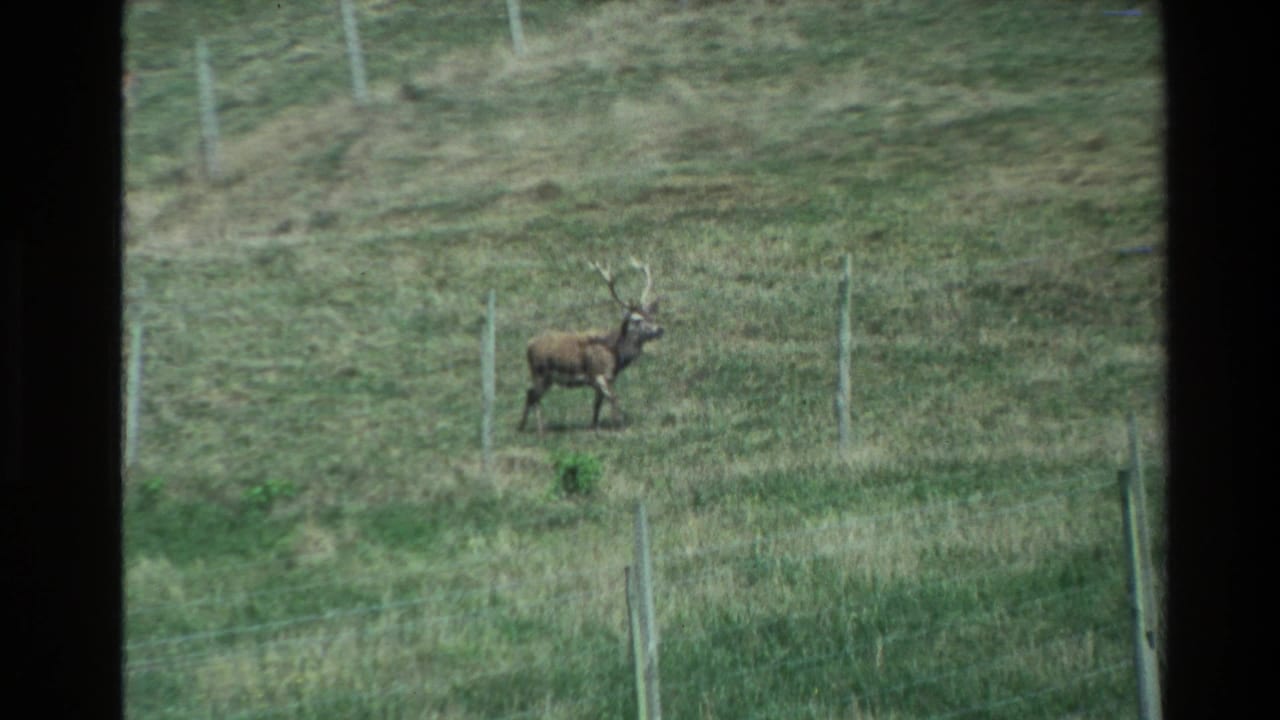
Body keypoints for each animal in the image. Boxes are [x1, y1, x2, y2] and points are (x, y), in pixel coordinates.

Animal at [519, 258, 663, 436]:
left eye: (652, 316)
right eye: (636, 319)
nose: (660, 329)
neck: (616, 355)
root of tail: (529, 345)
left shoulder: (603, 380)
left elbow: (597, 405)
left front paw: (594, 427)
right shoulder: (600, 373)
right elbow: (614, 399)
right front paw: (620, 427)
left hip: (547, 378)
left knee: (530, 394)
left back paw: (524, 427)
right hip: (540, 372)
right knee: (532, 395)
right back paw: (539, 430)